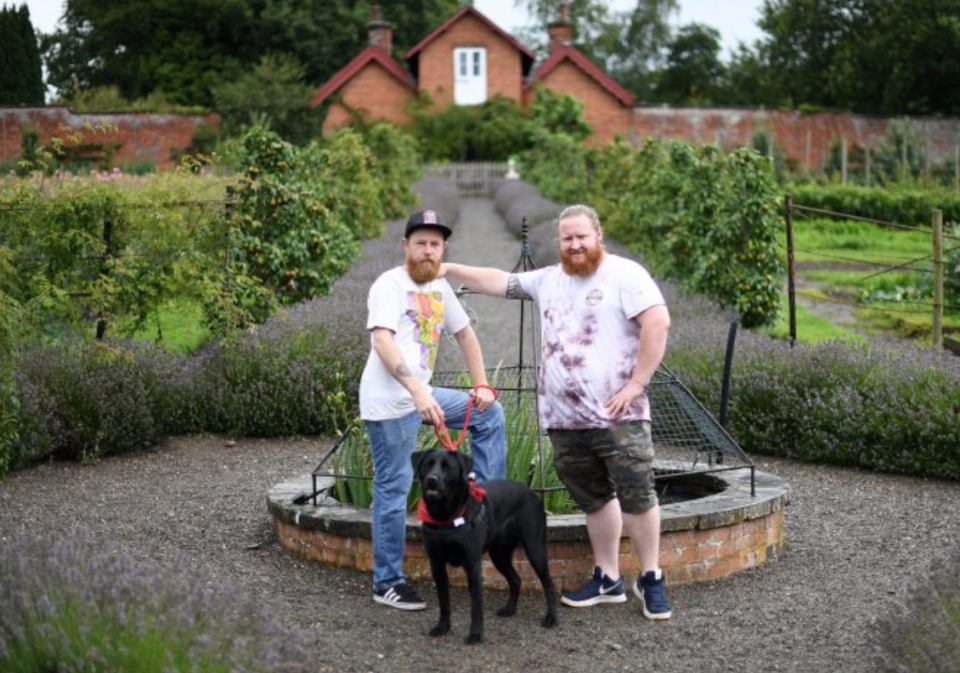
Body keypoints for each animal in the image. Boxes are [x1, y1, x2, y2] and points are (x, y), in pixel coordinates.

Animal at [410, 448, 560, 644]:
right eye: (427, 464)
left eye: (447, 466)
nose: (432, 479)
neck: (445, 516)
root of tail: (530, 491)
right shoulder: (437, 565)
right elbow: (444, 602)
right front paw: (442, 627)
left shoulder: (472, 565)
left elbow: (476, 606)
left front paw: (475, 634)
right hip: (499, 555)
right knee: (516, 579)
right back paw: (510, 609)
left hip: (535, 548)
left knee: (548, 584)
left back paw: (551, 617)